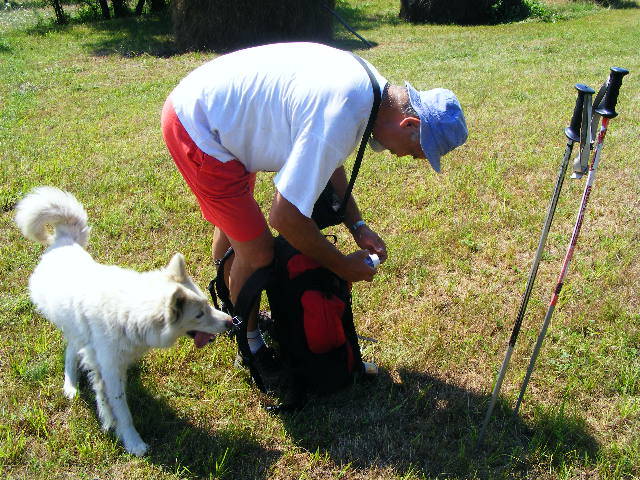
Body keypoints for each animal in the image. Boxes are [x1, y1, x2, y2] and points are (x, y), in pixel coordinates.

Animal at [14, 186, 232, 456]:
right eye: (199, 315)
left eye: (207, 305)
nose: (231, 322)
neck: (129, 312)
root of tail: (65, 241)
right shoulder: (110, 368)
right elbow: (122, 409)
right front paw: (132, 441)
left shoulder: (113, 363)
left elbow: (106, 395)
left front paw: (109, 419)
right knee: (70, 352)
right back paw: (71, 386)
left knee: (74, 350)